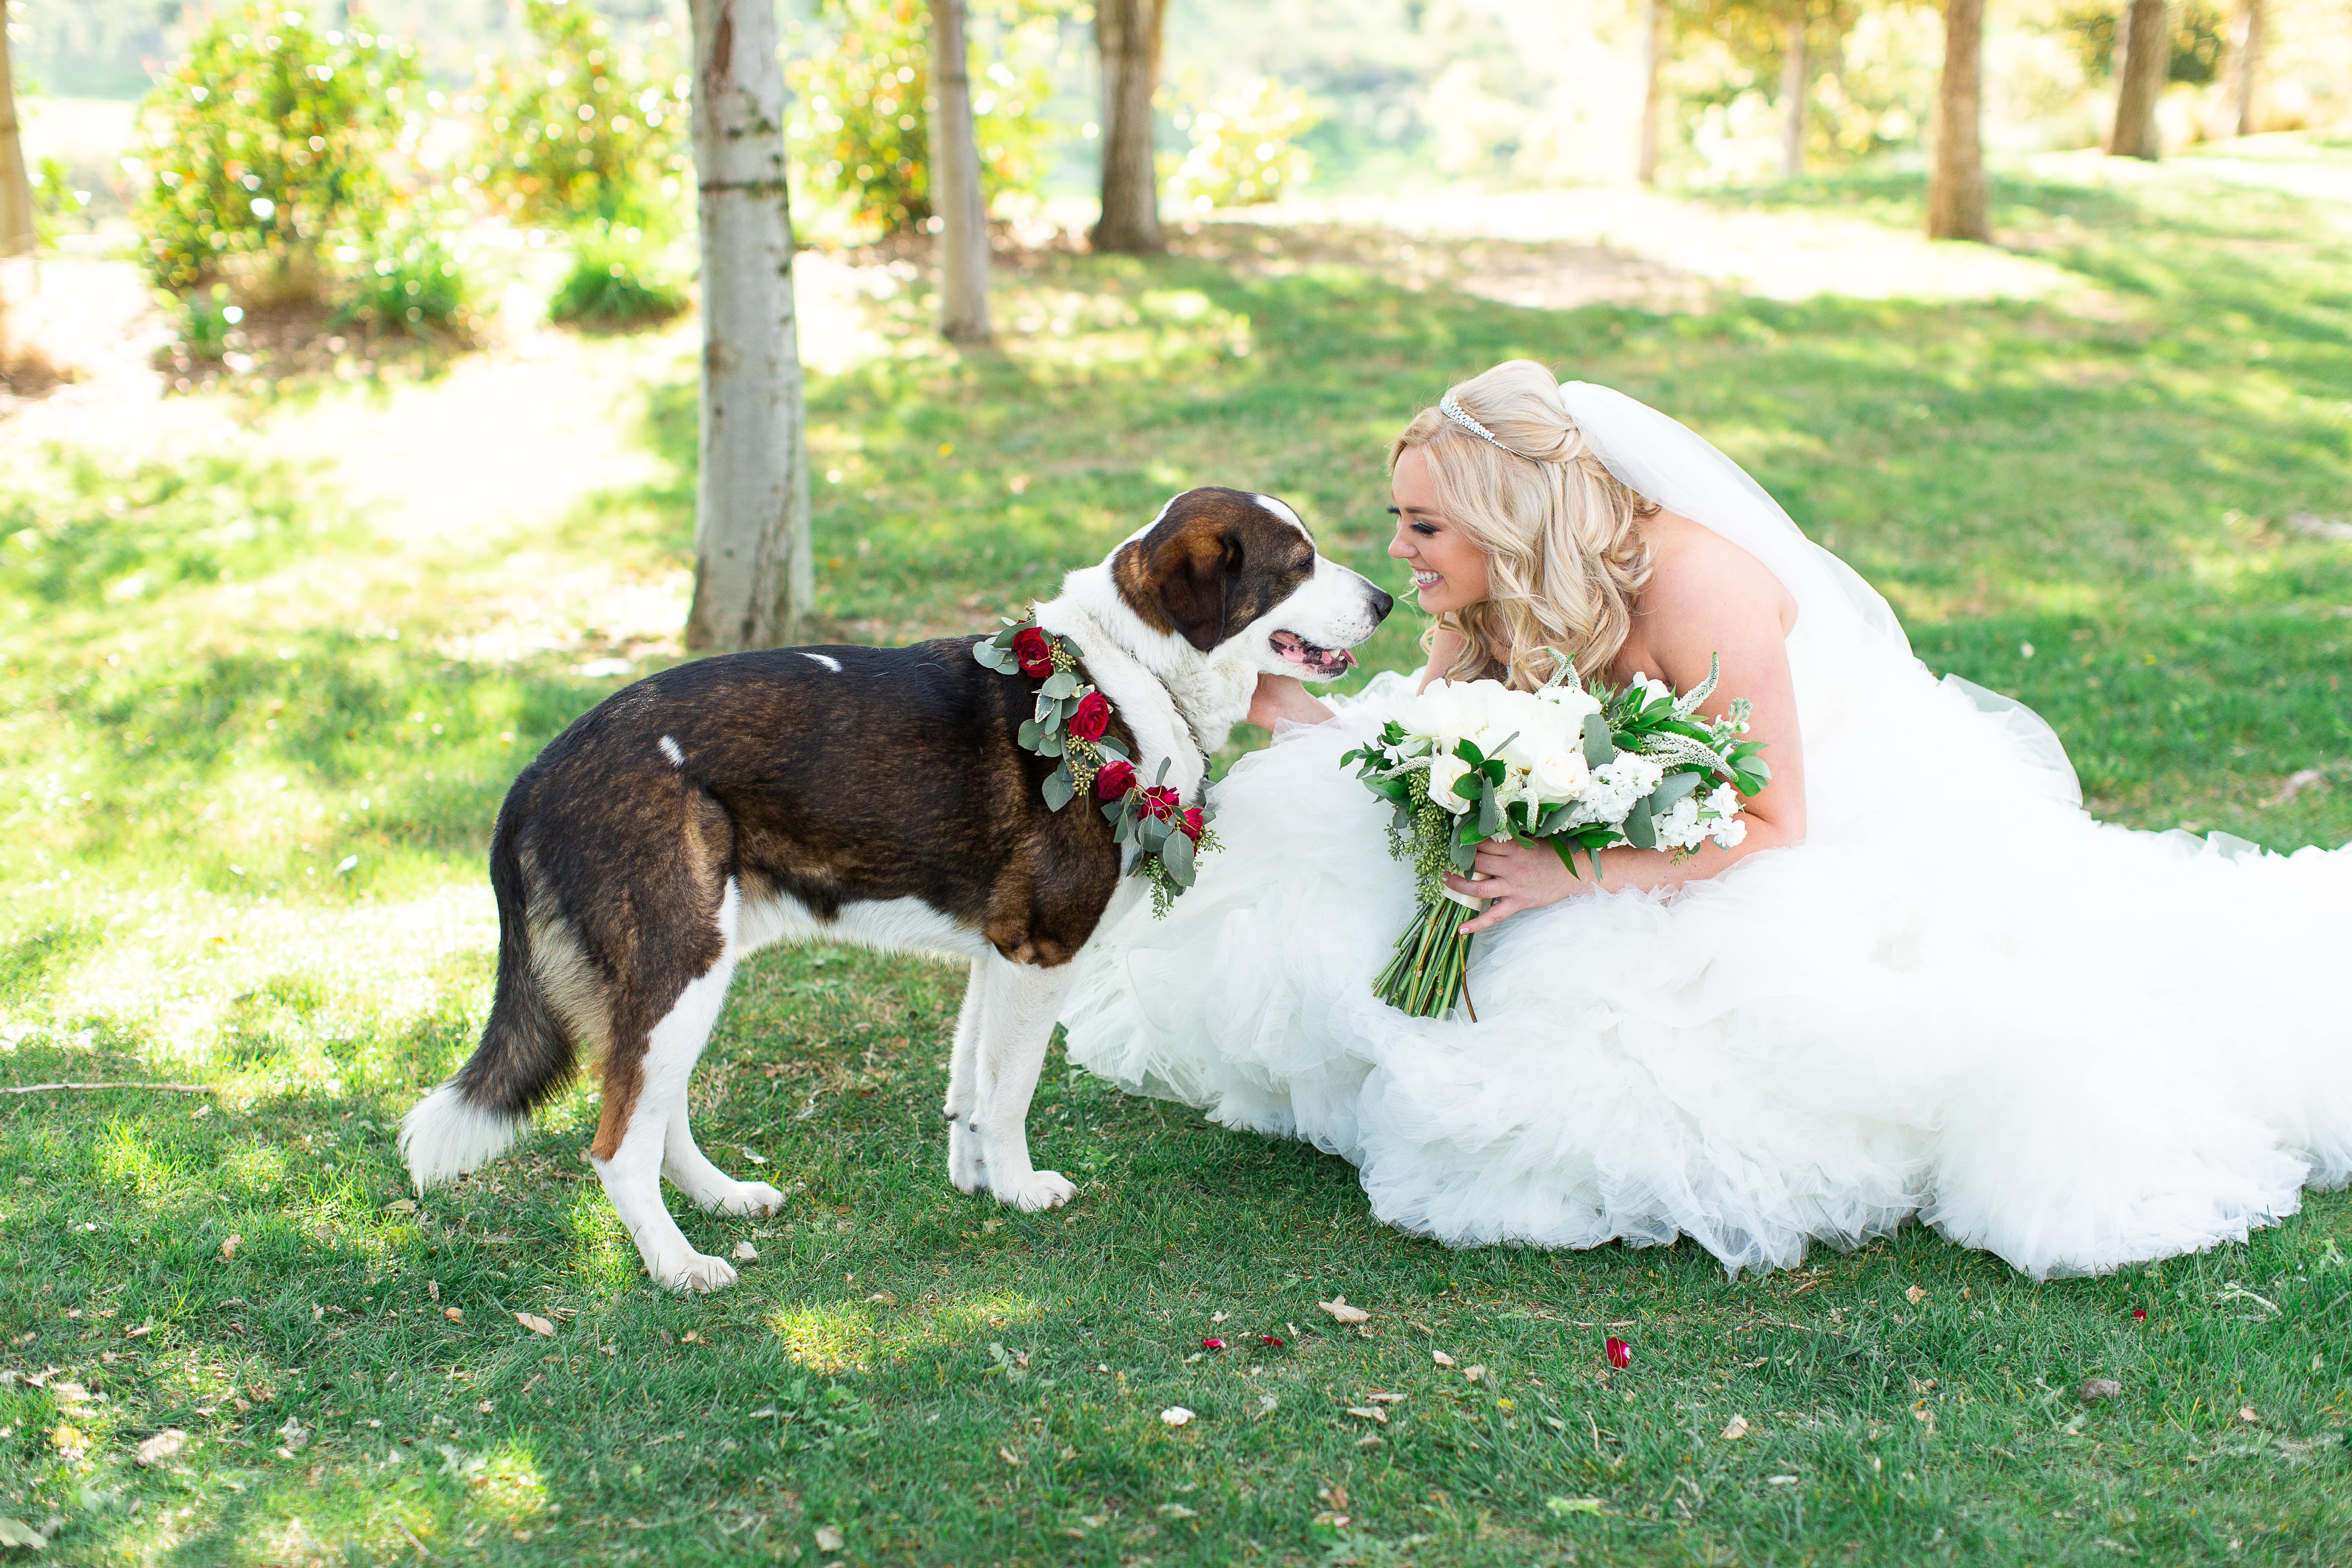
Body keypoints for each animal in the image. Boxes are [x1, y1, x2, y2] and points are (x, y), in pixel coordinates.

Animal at [395, 486, 1383, 1288]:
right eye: (1299, 563)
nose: (1384, 601)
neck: (1127, 675)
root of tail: (538, 773)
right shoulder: (1042, 955)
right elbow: (1011, 1092)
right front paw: (1021, 1190)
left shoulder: (999, 955)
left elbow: (972, 1087)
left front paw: (979, 1183)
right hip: (680, 965)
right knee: (615, 1146)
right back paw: (679, 1266)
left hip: (682, 980)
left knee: (652, 1111)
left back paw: (720, 1201)